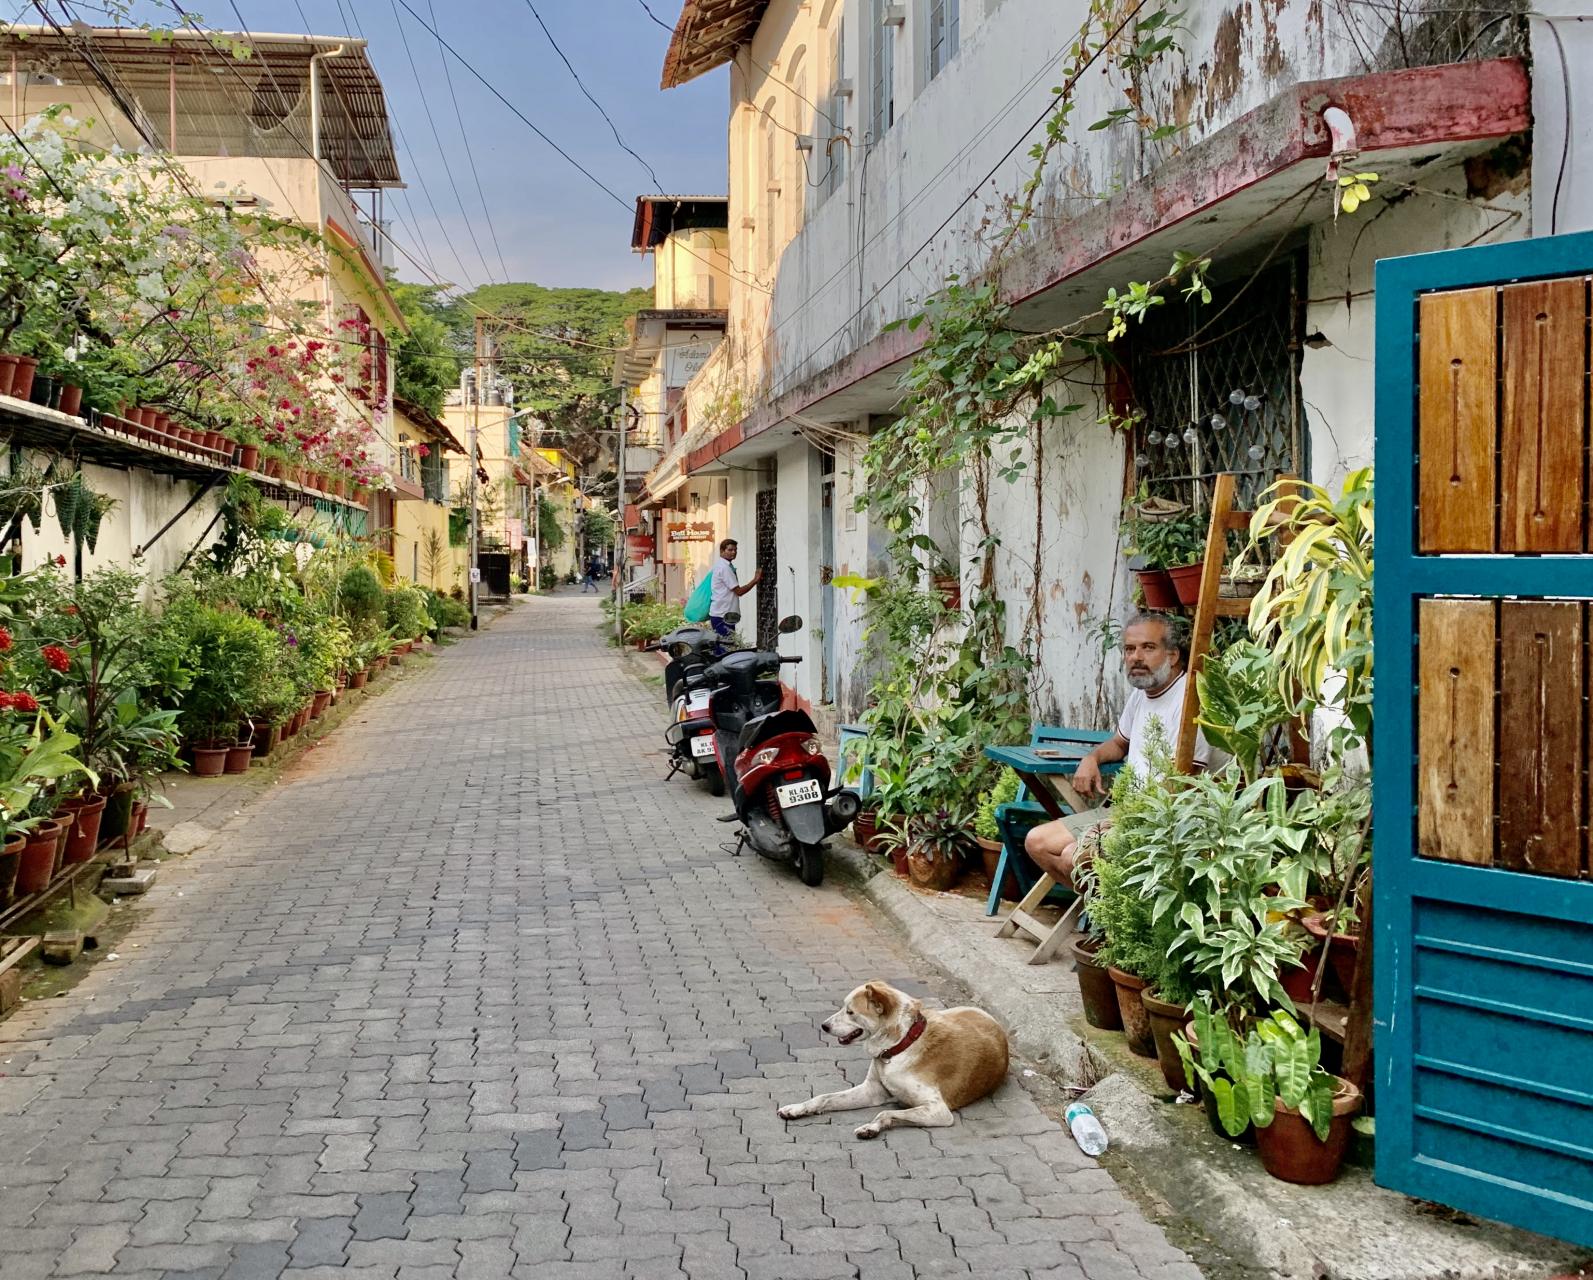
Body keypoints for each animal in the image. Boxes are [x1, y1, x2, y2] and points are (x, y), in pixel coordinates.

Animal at [776, 981, 1009, 1139]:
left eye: (850, 1012)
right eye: (844, 1008)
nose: (824, 1026)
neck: (900, 1044)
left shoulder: (938, 1111)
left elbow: (884, 1111)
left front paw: (871, 1127)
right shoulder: (871, 1091)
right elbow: (824, 1098)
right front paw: (797, 1108)